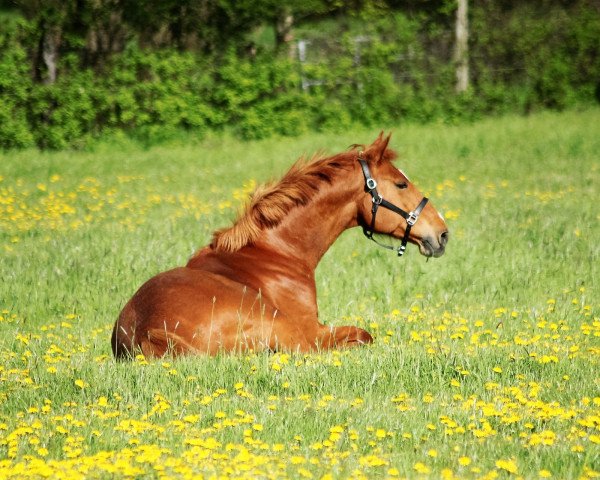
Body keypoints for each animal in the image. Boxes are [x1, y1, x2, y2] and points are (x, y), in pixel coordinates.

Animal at [112, 133, 448, 358]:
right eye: (401, 184)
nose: (442, 233)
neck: (276, 253)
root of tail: (150, 332)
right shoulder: (313, 331)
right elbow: (363, 334)